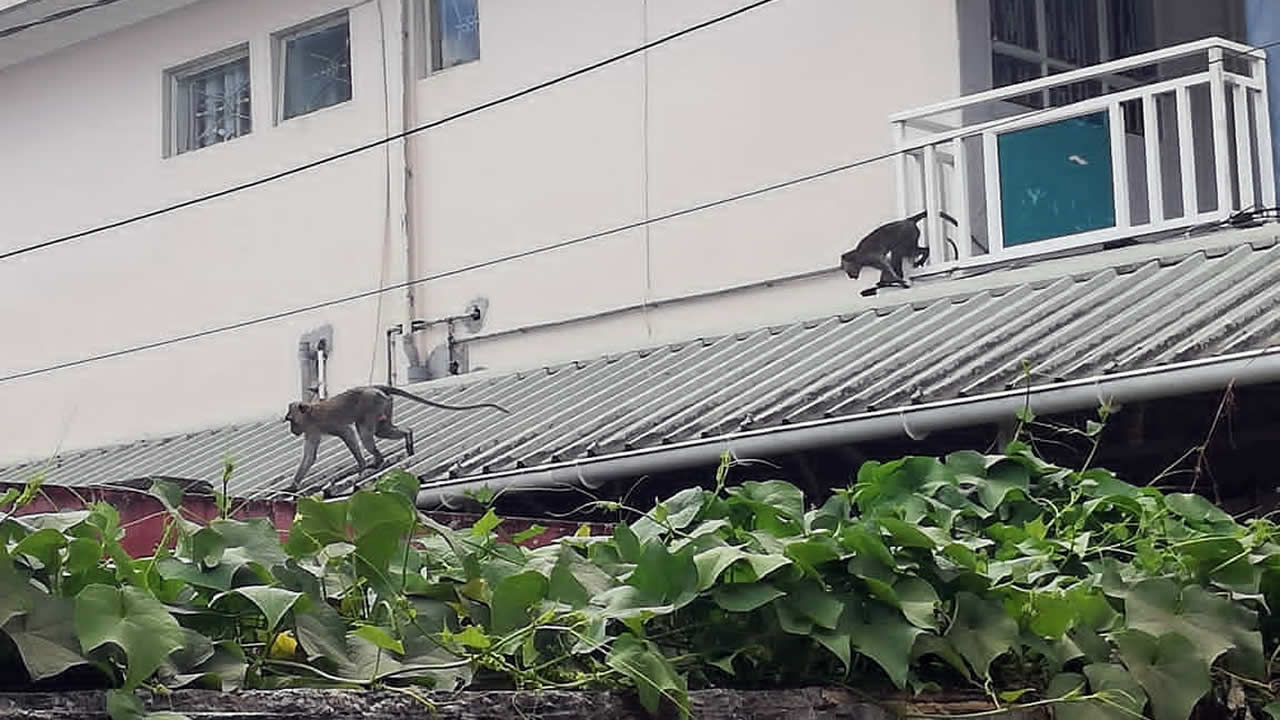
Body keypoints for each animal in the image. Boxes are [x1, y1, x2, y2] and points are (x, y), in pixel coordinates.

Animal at [285, 381, 509, 486]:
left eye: (290, 420)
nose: (292, 430)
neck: (310, 415)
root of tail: (373, 387)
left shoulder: (326, 422)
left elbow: (348, 433)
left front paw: (361, 466)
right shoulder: (311, 430)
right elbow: (309, 456)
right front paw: (293, 486)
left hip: (372, 404)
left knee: (365, 433)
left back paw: (377, 461)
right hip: (384, 406)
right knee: (382, 430)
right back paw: (407, 437)